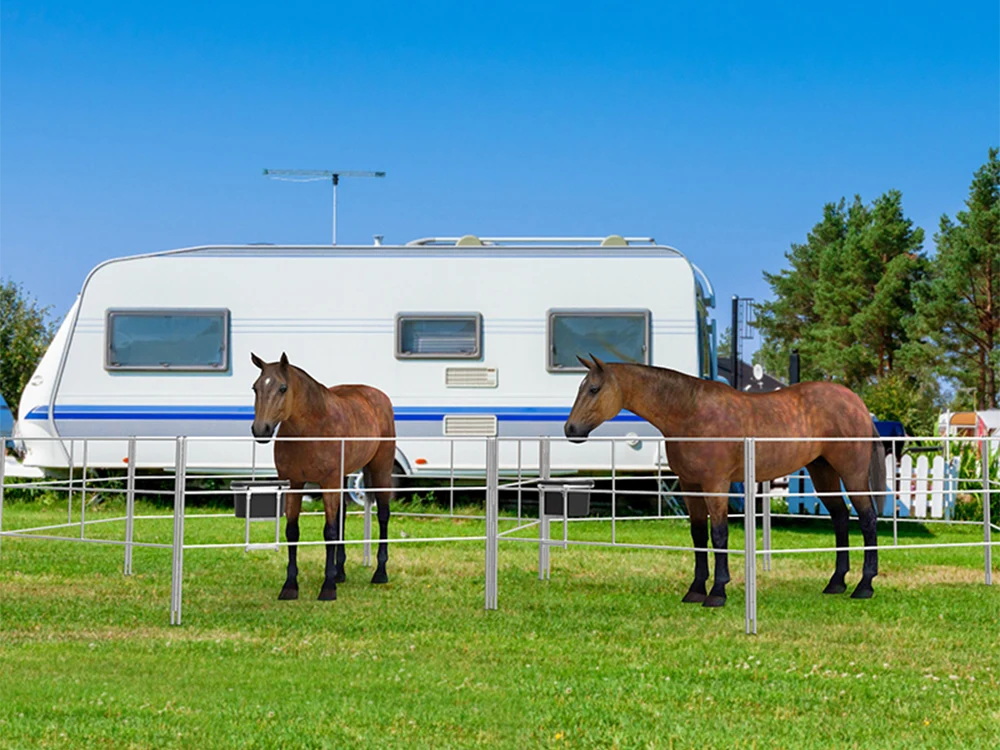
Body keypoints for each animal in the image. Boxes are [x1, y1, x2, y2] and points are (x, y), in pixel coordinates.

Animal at [248, 354, 396, 604]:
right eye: (255, 387)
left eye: (283, 388)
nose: (261, 430)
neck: (310, 431)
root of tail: (379, 396)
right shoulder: (294, 484)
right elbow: (293, 531)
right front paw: (290, 586)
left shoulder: (328, 484)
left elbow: (329, 531)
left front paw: (327, 588)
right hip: (343, 478)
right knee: (342, 516)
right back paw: (340, 573)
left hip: (380, 470)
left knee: (383, 515)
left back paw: (380, 573)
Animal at [568, 356, 888, 608]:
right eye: (581, 387)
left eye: (594, 389)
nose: (570, 429)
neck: (690, 413)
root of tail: (858, 404)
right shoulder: (689, 486)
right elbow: (698, 535)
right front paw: (696, 590)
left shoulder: (715, 484)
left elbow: (719, 534)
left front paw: (717, 592)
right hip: (823, 472)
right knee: (840, 517)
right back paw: (836, 583)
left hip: (852, 474)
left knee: (867, 518)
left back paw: (864, 586)